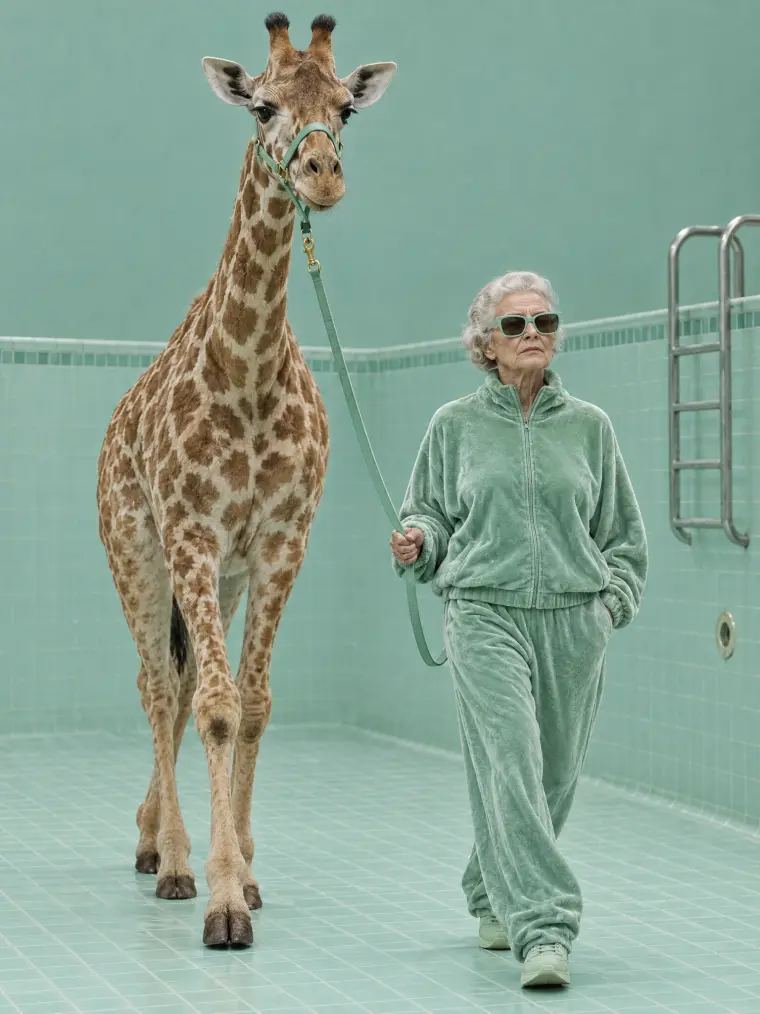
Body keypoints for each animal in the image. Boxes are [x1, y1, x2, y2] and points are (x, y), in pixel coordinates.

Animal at [96, 12, 395, 948]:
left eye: (346, 108)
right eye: (262, 106)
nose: (323, 174)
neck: (251, 370)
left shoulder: (277, 543)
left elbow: (251, 702)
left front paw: (250, 874)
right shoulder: (191, 535)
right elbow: (217, 707)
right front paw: (221, 898)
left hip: (219, 580)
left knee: (185, 680)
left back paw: (153, 839)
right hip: (136, 555)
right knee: (159, 687)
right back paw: (174, 860)